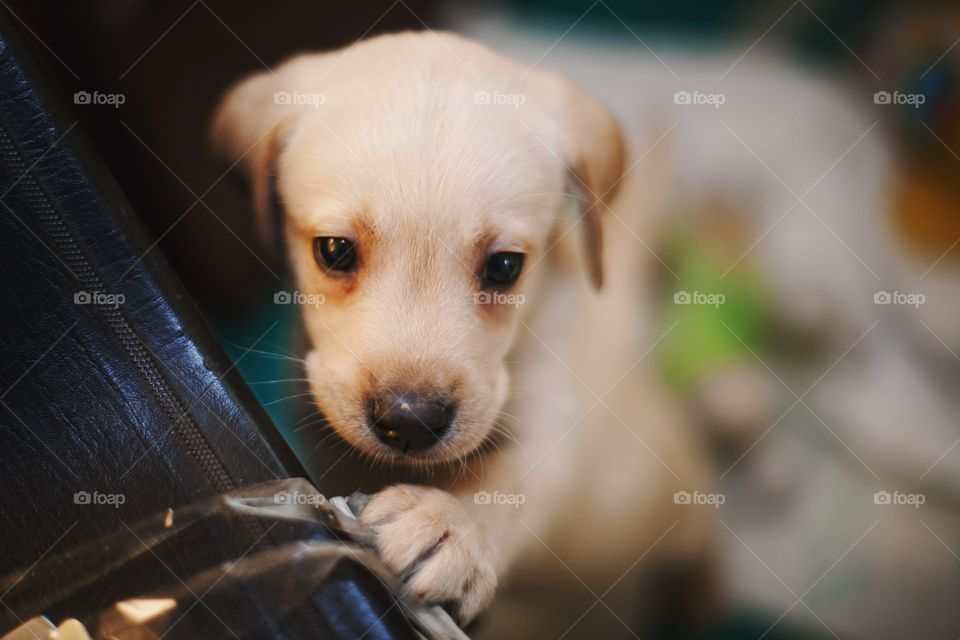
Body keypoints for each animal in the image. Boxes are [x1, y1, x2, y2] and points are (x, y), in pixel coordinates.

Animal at [216, 31, 712, 636]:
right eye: (334, 250)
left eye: (504, 267)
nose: (409, 421)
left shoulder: (562, 413)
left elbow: (521, 477)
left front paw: (452, 525)